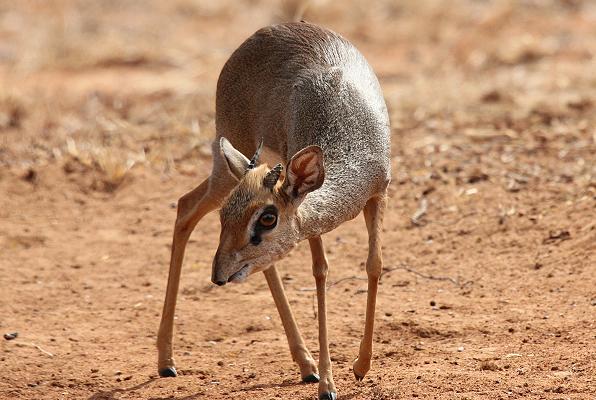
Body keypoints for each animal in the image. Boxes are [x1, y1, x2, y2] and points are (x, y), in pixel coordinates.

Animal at [158, 22, 392, 400]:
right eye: (225, 217)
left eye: (268, 218)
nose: (218, 276)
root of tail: (263, 33)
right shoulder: (308, 215)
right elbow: (320, 272)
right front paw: (328, 384)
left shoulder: (378, 193)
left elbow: (374, 265)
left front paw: (361, 366)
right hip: (227, 167)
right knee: (185, 209)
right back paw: (166, 362)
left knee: (196, 214)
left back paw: (305, 366)